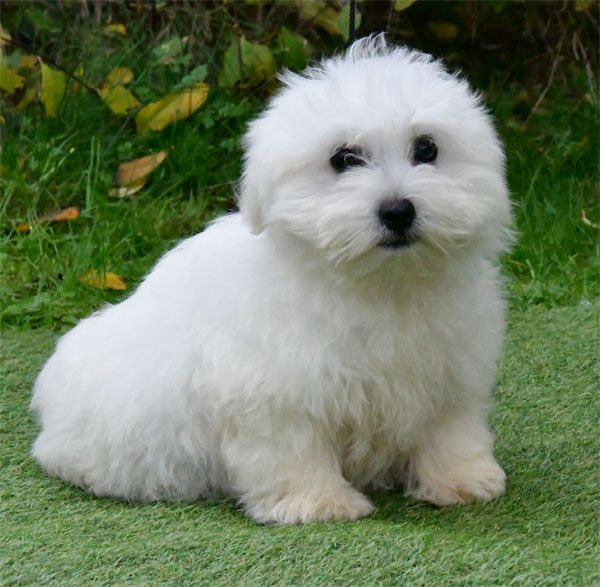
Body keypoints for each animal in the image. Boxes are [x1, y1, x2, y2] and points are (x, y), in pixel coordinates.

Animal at [31, 35, 510, 524]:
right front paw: (317, 502)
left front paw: (462, 479)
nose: (397, 210)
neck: (380, 285)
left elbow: (448, 430)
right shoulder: (277, 392)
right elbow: (293, 448)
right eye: (344, 159)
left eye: (427, 149)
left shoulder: (448, 373)